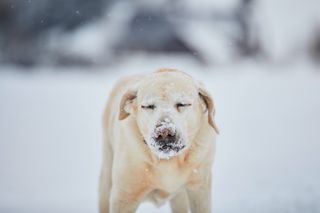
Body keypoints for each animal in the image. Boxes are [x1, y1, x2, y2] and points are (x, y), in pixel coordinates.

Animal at [100, 69, 219, 212]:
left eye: (182, 104)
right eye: (148, 106)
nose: (164, 132)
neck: (168, 161)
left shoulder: (200, 188)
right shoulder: (124, 196)